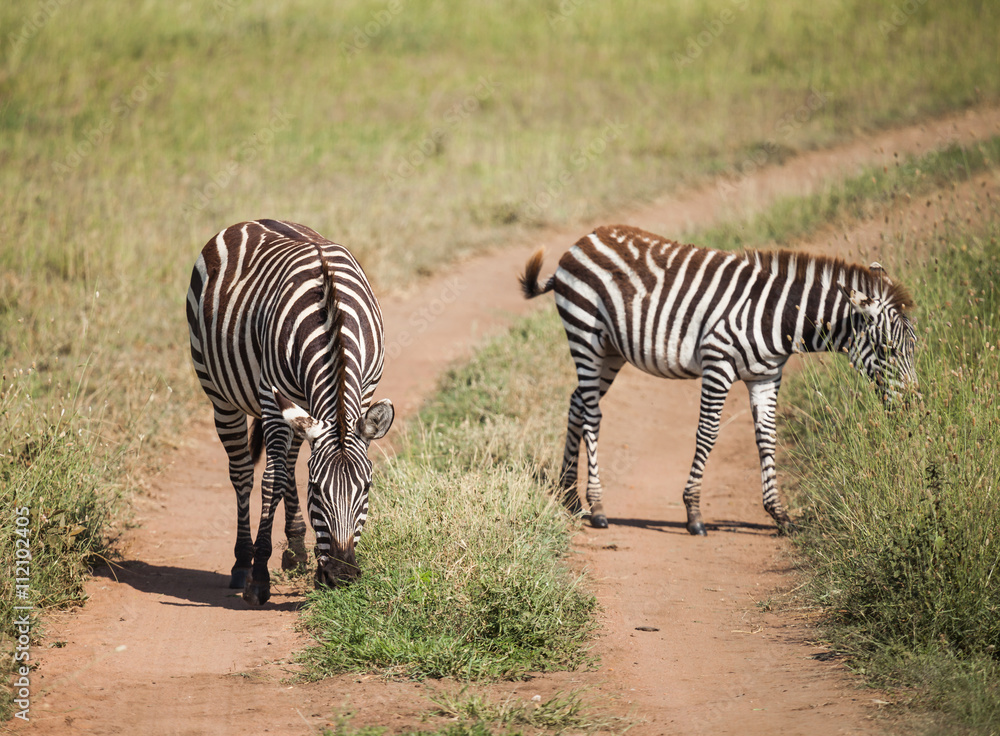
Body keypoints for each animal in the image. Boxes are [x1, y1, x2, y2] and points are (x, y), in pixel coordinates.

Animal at [187, 219, 394, 605]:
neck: (331, 319)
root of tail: (250, 221)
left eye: (367, 488)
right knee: (244, 473)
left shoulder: (363, 392)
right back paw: (243, 563)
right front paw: (259, 578)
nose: (342, 575)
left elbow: (288, 473)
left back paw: (296, 547)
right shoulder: (272, 399)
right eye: (316, 489)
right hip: (221, 395)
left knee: (288, 461)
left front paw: (309, 562)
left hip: (299, 409)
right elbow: (272, 480)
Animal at [519, 224, 917, 534]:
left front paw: (780, 515)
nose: (913, 409)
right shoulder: (718, 364)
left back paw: (570, 498)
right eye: (887, 350)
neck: (778, 317)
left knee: (577, 403)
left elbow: (767, 438)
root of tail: (582, 240)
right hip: (585, 334)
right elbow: (708, 433)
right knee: (593, 415)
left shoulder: (766, 377)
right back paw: (597, 506)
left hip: (610, 349)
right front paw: (693, 512)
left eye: (914, 349)